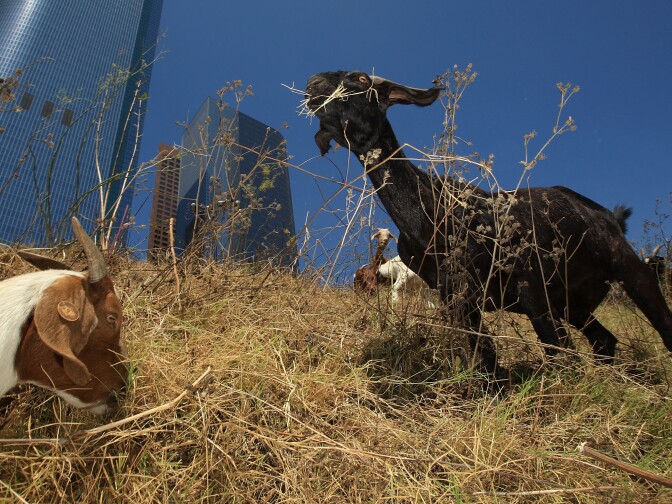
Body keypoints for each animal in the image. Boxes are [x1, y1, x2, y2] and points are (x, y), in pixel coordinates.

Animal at [305, 70, 672, 375]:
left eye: (361, 78)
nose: (312, 84)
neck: (429, 212)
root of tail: (608, 215)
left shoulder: (528, 284)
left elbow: (557, 349)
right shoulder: (456, 295)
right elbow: (485, 353)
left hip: (626, 266)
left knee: (660, 325)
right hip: (574, 302)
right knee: (603, 340)